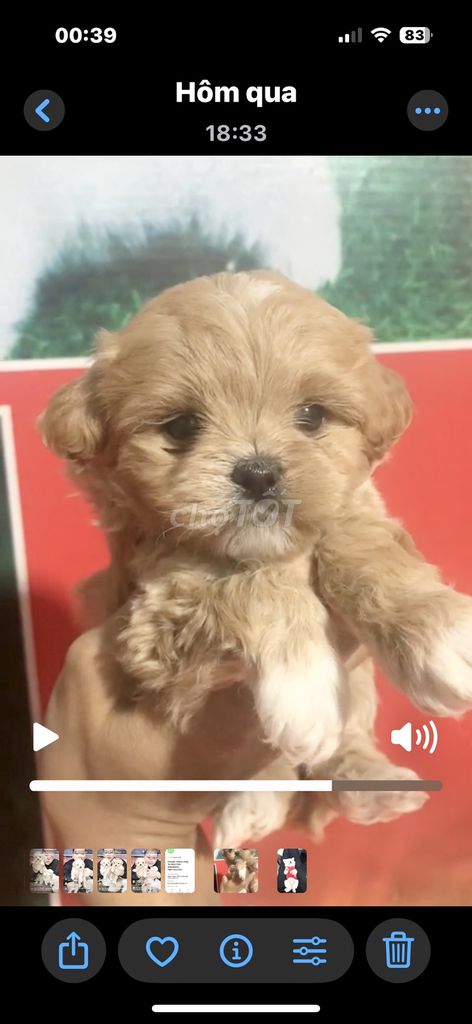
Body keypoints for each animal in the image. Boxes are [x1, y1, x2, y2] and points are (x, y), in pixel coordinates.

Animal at [39, 268, 470, 843]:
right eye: (181, 427)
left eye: (311, 415)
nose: (259, 472)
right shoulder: (152, 613)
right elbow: (249, 587)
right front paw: (304, 687)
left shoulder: (355, 509)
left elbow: (356, 544)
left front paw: (441, 632)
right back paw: (253, 803)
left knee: (349, 743)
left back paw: (372, 785)